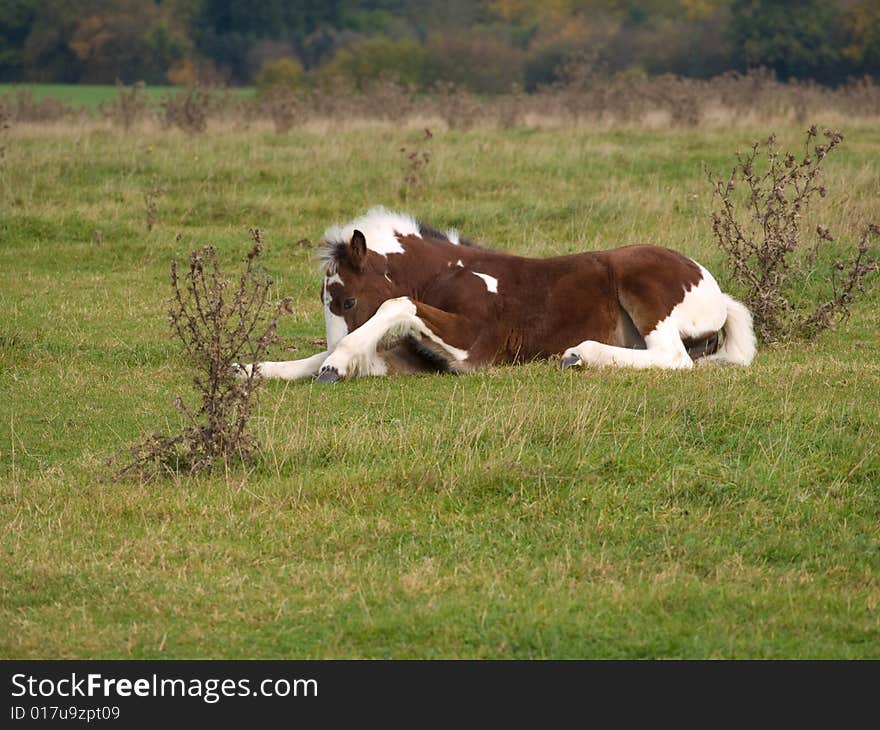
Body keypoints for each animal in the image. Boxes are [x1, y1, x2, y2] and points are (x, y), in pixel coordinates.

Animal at [242, 205, 756, 382]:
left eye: (347, 301)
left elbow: (396, 303)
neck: (450, 272)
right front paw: (251, 369)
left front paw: (336, 362)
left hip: (642, 287)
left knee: (673, 358)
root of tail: (717, 292)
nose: (335, 351)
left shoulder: (474, 348)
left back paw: (579, 354)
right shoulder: (415, 357)